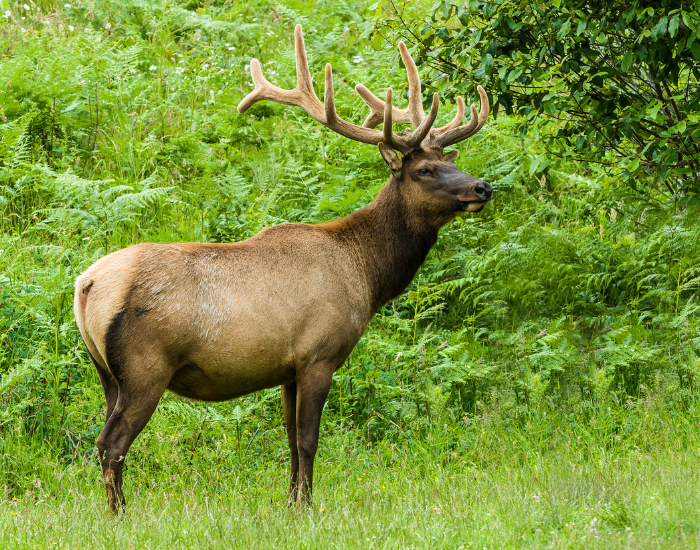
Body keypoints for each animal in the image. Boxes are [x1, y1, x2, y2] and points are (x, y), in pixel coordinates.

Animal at [73, 24, 492, 513]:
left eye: (452, 161)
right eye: (425, 169)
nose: (482, 187)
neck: (367, 276)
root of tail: (87, 284)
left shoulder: (287, 368)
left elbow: (290, 440)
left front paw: (292, 501)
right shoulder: (319, 353)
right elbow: (309, 440)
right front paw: (306, 507)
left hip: (106, 373)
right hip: (145, 367)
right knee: (112, 443)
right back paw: (121, 514)